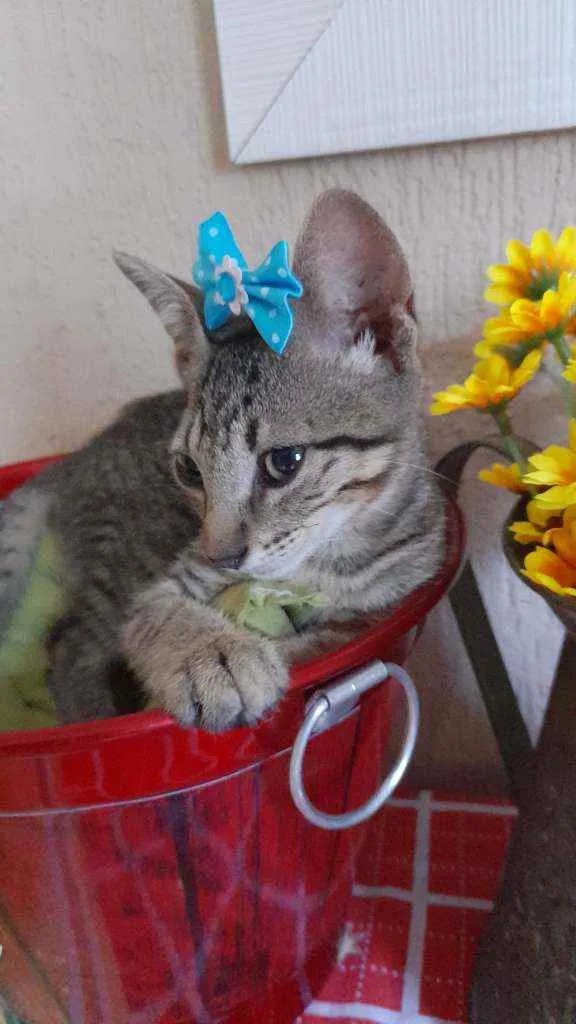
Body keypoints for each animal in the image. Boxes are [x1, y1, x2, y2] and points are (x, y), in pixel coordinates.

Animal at [0, 189, 444, 730]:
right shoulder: (172, 580)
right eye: (189, 469)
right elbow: (153, 614)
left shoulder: (382, 607)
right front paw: (213, 656)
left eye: (285, 462)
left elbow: (320, 642)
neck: (326, 560)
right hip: (129, 553)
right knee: (67, 644)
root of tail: (76, 457)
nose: (222, 556)